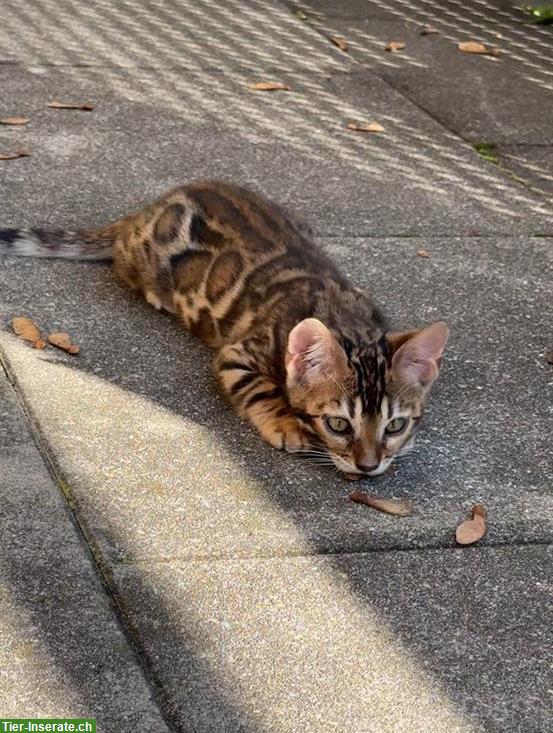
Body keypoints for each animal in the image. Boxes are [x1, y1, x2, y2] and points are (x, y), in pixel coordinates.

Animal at [0, 182, 446, 480]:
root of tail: (145, 210)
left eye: (395, 425)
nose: (368, 465)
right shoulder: (239, 353)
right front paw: (285, 423)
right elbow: (261, 388)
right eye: (338, 424)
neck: (345, 316)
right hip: (144, 258)